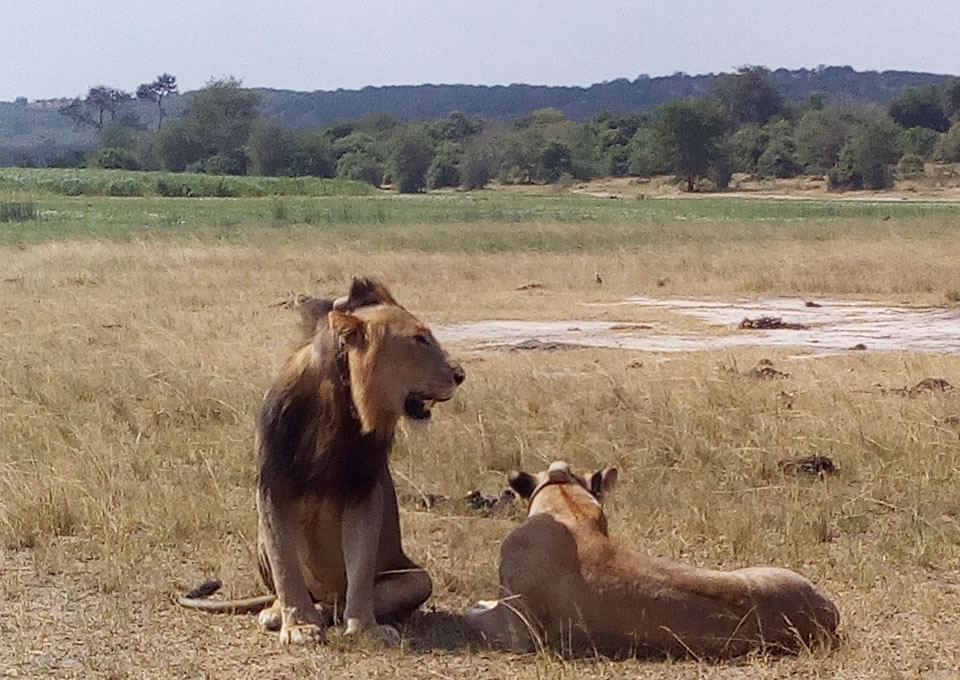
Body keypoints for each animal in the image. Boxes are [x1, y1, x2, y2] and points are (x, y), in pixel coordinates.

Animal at [178, 277, 465, 646]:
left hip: (417, 577)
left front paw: (364, 627)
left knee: (347, 597)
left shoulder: (364, 489)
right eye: (420, 339)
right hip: (259, 537)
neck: (339, 403)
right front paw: (299, 624)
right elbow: (286, 567)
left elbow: (360, 568)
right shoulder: (273, 485)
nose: (460, 374)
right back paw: (278, 611)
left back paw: (333, 611)